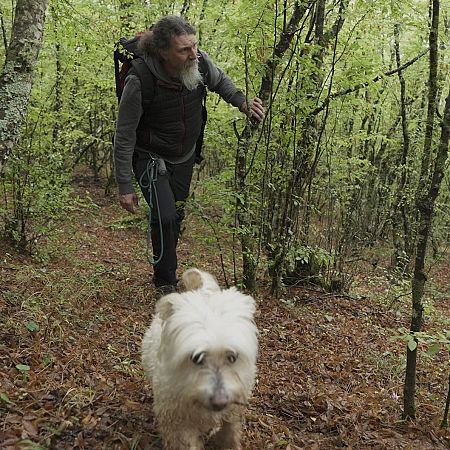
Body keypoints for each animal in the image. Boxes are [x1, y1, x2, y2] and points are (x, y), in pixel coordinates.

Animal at [141, 268, 260, 448]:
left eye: (232, 357)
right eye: (196, 358)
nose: (220, 402)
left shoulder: (233, 408)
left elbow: (230, 431)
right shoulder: (177, 421)